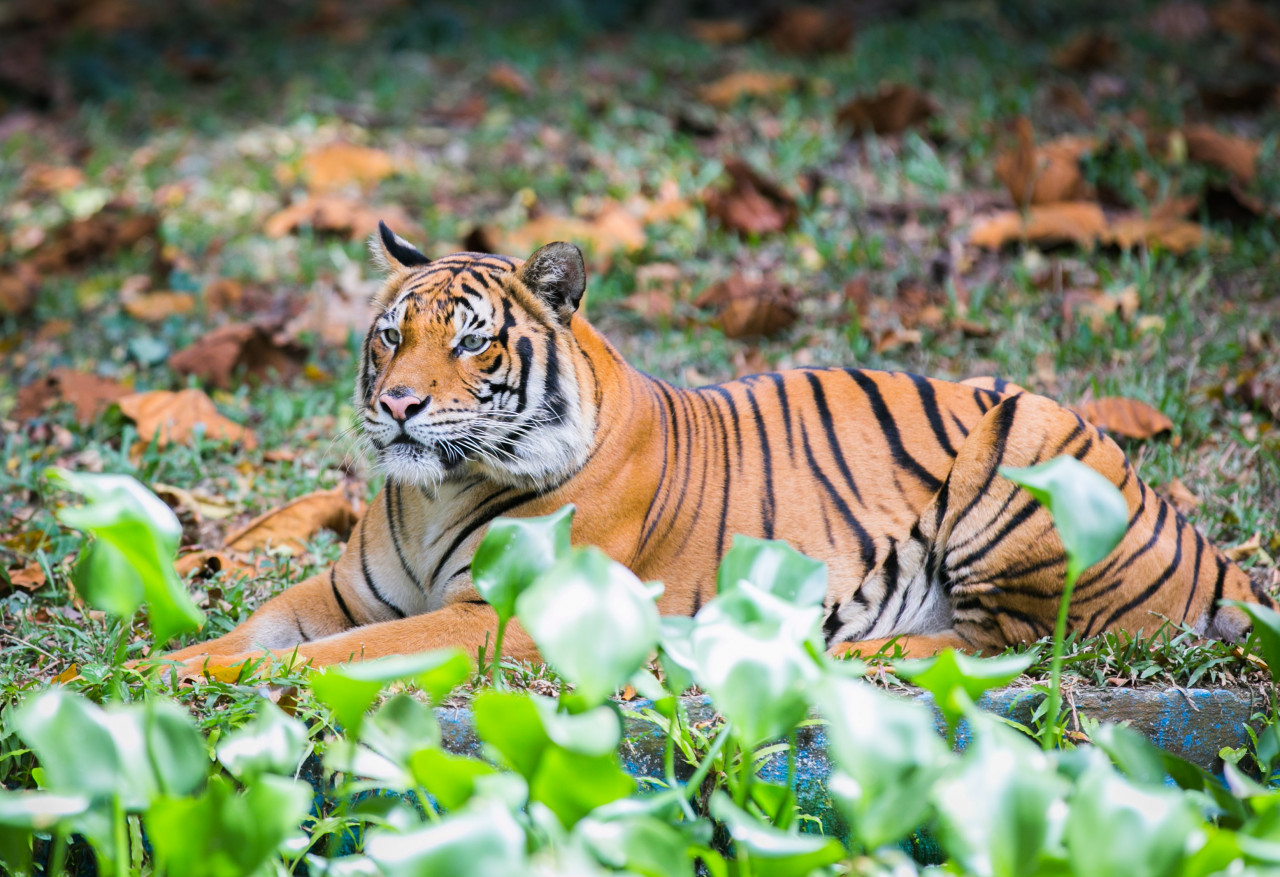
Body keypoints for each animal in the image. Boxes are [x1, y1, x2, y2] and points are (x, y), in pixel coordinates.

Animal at [157, 222, 1269, 675]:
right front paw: (149, 665)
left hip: (1026, 441)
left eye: (471, 340)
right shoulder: (346, 591)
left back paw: (840, 651)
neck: (433, 494)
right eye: (392, 334)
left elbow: (334, 659)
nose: (396, 404)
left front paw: (195, 682)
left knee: (1010, 642)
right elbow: (260, 626)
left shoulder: (498, 616)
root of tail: (1204, 543)